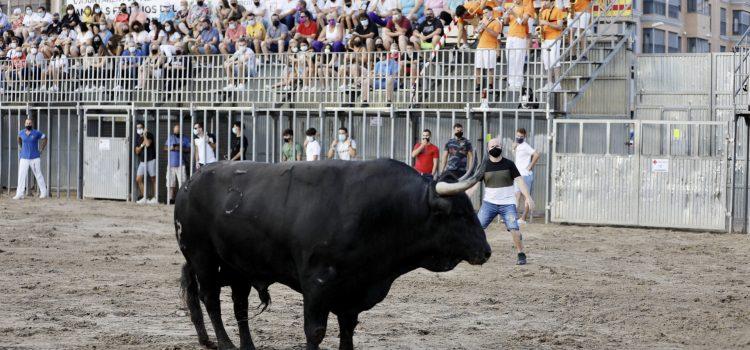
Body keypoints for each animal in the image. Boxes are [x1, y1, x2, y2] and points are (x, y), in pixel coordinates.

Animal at [176, 159, 494, 350]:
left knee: (239, 304)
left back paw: (246, 346)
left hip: (238, 266)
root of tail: (193, 178)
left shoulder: (353, 289)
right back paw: (225, 343)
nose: (486, 251)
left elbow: (348, 328)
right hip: (203, 257)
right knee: (210, 299)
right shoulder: (317, 285)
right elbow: (315, 331)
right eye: (459, 213)